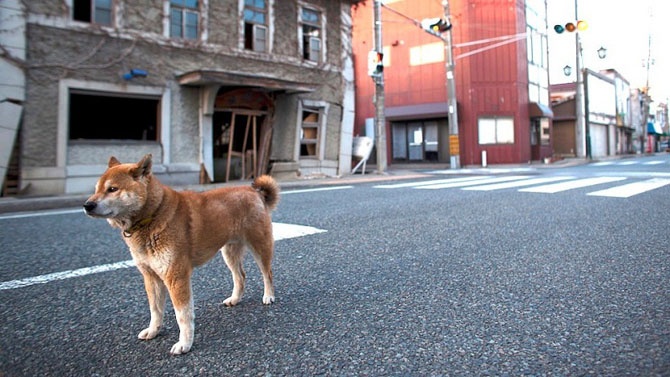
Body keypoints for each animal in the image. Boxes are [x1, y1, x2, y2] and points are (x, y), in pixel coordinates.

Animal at [83, 154, 278, 354]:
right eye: (97, 189)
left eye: (112, 189)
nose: (87, 205)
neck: (152, 216)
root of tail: (254, 192)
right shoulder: (151, 276)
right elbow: (155, 310)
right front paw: (153, 331)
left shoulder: (175, 276)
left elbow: (182, 315)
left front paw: (184, 343)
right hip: (229, 252)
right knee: (240, 276)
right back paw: (235, 299)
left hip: (260, 246)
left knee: (267, 273)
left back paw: (268, 296)